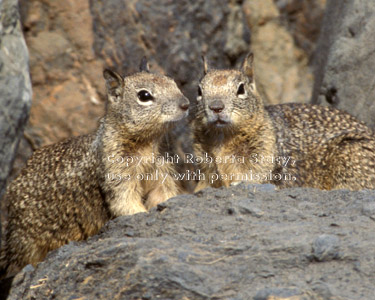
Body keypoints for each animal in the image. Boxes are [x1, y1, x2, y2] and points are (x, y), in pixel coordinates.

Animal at [0, 58, 188, 278]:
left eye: (171, 80)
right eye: (144, 96)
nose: (186, 104)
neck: (147, 144)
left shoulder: (162, 173)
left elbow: (163, 195)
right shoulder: (117, 174)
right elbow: (125, 203)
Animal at [194, 52, 375, 191]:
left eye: (241, 89)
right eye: (199, 90)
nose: (216, 107)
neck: (222, 136)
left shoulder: (262, 154)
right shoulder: (205, 166)